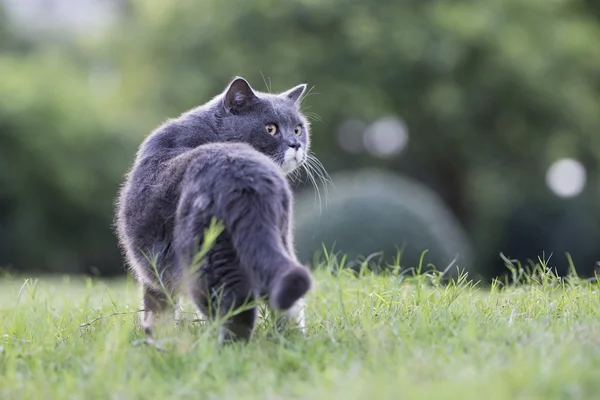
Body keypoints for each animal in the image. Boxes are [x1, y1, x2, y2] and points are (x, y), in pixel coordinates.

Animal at [116, 78, 314, 344]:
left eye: (297, 129)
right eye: (271, 128)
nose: (295, 144)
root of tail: (243, 177)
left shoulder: (152, 270)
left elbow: (157, 308)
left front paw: (156, 339)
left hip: (207, 255)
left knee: (233, 305)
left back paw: (223, 347)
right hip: (279, 238)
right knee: (287, 298)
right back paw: (290, 340)